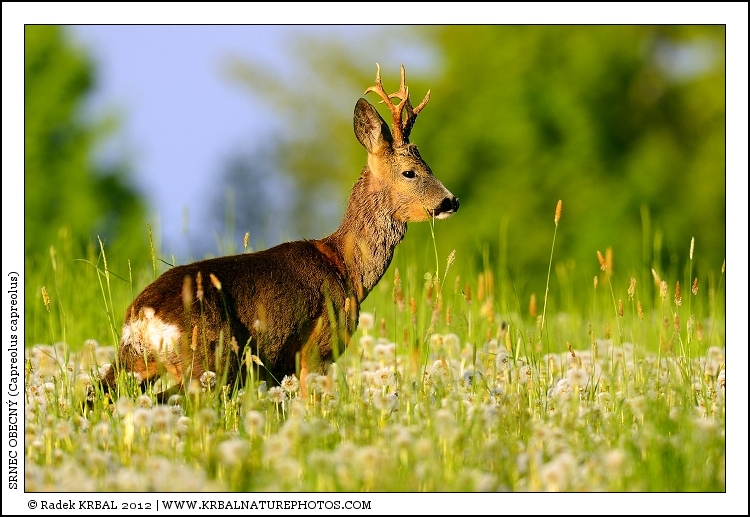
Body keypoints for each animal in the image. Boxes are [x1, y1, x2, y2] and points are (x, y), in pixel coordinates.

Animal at [100, 64, 459, 401]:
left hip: (136, 364)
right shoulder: (317, 349)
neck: (347, 269)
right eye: (410, 172)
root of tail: (141, 318)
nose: (451, 201)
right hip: (210, 361)